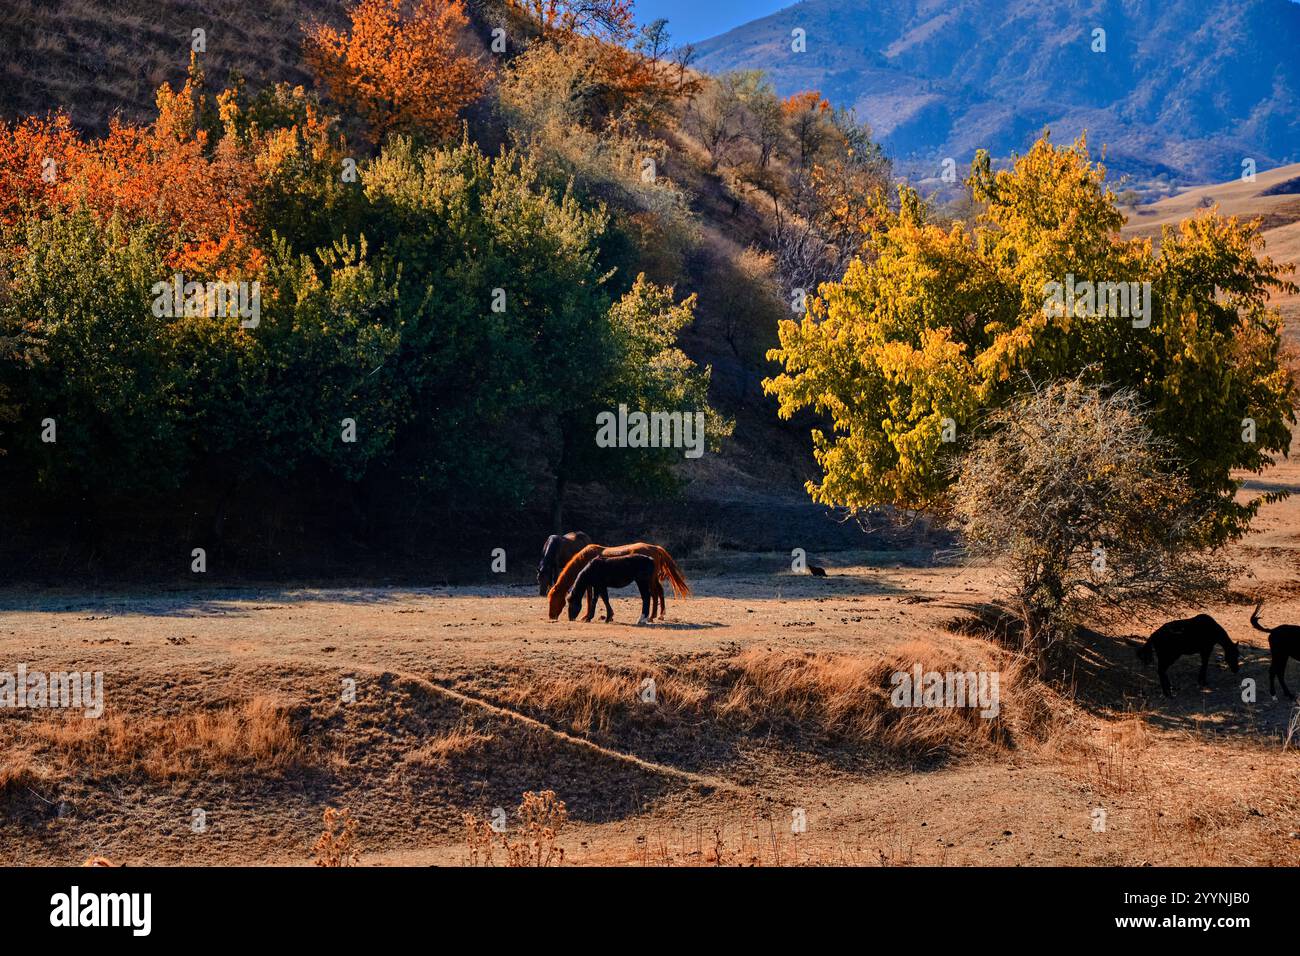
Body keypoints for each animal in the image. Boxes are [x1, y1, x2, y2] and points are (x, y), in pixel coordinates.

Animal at [547, 542, 690, 621]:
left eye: (554, 599)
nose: (551, 616)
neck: (587, 560)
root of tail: (655, 548)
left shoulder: (592, 584)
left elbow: (590, 599)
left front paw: (587, 616)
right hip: (652, 579)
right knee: (658, 592)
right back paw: (657, 615)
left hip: (648, 580)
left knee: (653, 594)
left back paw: (651, 616)